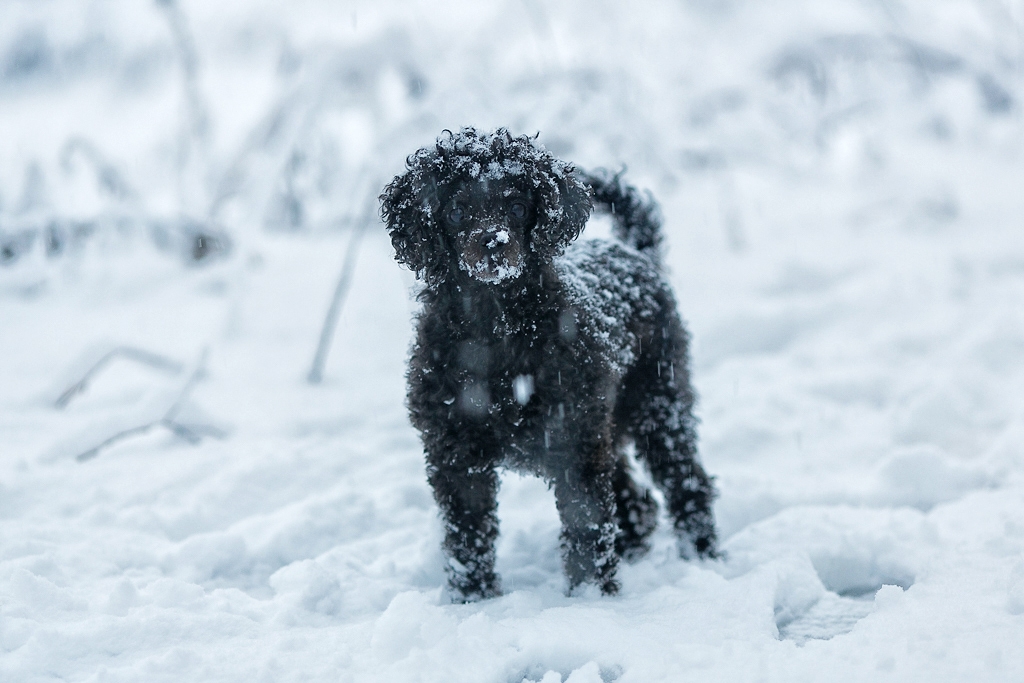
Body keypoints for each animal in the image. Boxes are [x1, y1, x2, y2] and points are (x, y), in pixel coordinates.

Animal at [378, 126, 720, 598]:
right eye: (458, 208)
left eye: (519, 206)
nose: (494, 243)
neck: (495, 331)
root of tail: (635, 253)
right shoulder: (455, 452)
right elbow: (468, 534)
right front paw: (474, 597)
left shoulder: (573, 441)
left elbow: (586, 525)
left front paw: (590, 597)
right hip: (607, 421)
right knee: (636, 497)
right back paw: (634, 547)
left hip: (656, 401)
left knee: (687, 482)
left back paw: (703, 554)